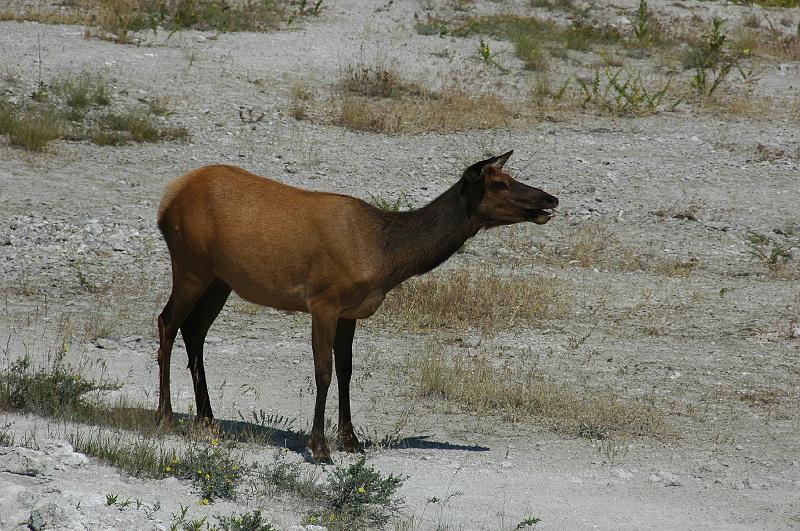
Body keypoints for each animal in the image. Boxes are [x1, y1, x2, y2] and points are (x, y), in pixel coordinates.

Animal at [155, 150, 556, 462]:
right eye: (499, 184)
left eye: (511, 177)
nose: (550, 199)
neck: (385, 258)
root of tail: (167, 198)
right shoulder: (323, 301)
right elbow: (323, 372)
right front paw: (319, 448)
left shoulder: (350, 312)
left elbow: (347, 371)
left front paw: (351, 441)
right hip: (190, 265)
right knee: (167, 322)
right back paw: (166, 417)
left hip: (220, 279)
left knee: (194, 331)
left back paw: (207, 419)